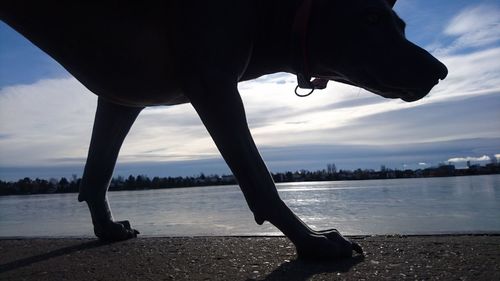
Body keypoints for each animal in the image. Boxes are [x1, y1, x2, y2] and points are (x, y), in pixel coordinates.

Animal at [0, 0, 446, 258]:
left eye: (402, 25)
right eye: (370, 18)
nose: (441, 71)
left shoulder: (122, 97)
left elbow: (98, 171)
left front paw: (106, 229)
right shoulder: (213, 83)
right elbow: (259, 180)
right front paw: (312, 241)